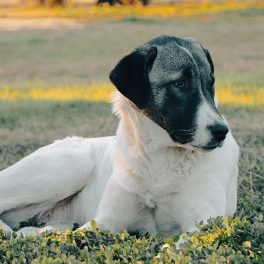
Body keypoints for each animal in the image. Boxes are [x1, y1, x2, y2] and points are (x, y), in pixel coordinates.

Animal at [0, 35, 239, 237]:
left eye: (210, 83)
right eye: (180, 83)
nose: (221, 131)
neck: (159, 157)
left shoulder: (203, 224)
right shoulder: (106, 221)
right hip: (72, 165)